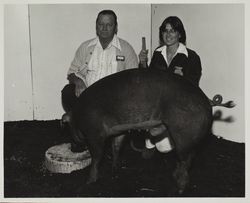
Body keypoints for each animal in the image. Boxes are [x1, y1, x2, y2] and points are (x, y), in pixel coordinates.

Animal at [66, 68, 234, 193]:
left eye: (70, 132)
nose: (72, 147)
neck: (78, 116)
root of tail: (207, 100)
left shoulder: (94, 134)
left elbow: (96, 157)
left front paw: (89, 182)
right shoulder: (118, 131)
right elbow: (116, 147)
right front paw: (115, 170)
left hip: (183, 133)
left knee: (185, 160)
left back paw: (179, 189)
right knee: (189, 159)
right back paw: (175, 176)